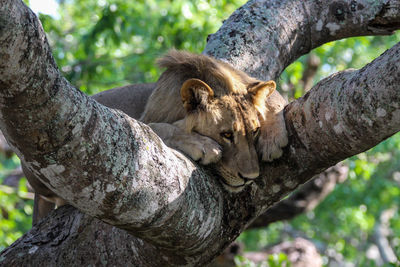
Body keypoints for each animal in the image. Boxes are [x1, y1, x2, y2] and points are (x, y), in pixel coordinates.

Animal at [25, 50, 288, 224]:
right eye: (226, 134)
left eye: (254, 131)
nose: (250, 177)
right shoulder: (144, 121)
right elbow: (163, 128)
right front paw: (203, 145)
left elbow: (277, 98)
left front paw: (272, 137)